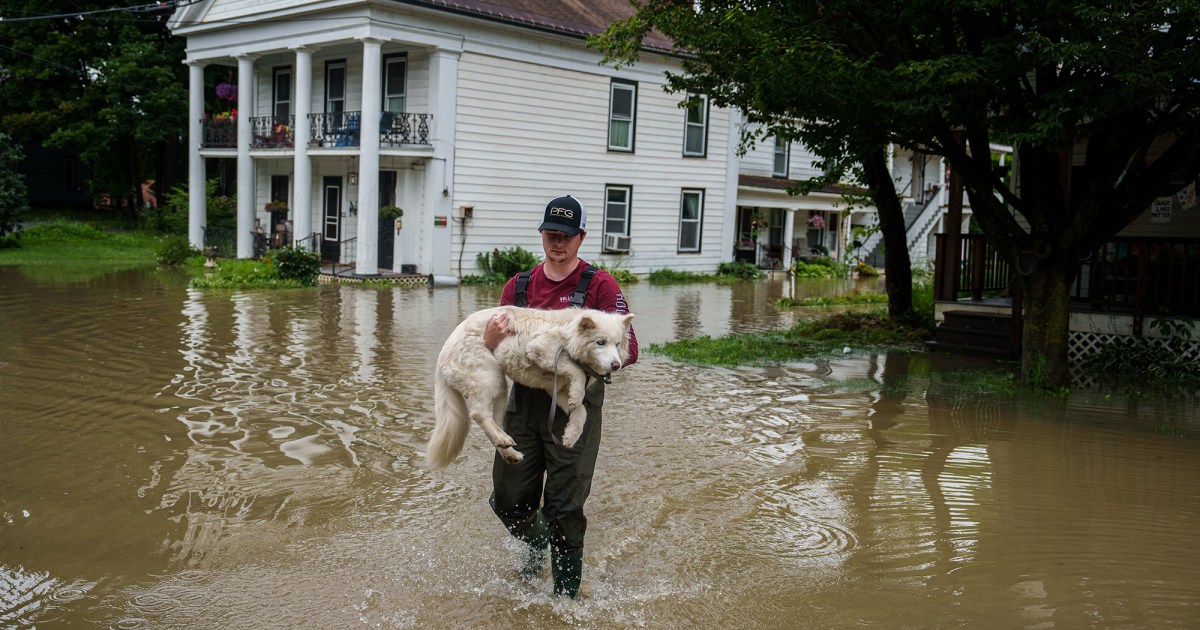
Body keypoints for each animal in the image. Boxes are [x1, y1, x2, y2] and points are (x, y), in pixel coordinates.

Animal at [432, 304, 638, 465]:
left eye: (617, 344)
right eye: (600, 342)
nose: (616, 365)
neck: (568, 334)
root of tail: (441, 356)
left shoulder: (556, 389)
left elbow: (581, 411)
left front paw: (570, 436)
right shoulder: (540, 349)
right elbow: (576, 371)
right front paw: (577, 395)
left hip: (499, 391)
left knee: (493, 421)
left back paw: (509, 451)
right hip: (489, 378)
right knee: (478, 414)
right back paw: (503, 439)